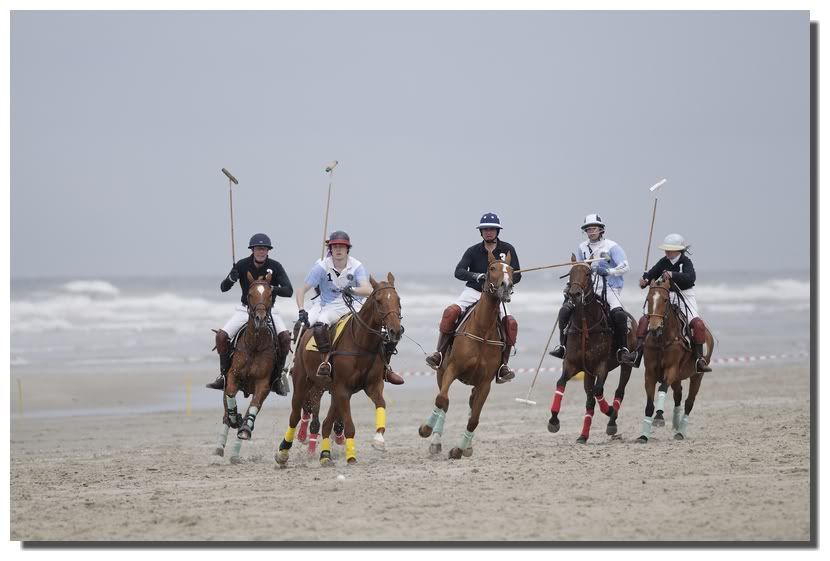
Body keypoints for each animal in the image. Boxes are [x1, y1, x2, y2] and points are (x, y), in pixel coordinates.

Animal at [213, 272, 278, 464]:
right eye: (250, 294)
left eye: (270, 294)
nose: (261, 319)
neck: (254, 345)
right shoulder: (232, 377)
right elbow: (231, 396)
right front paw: (235, 418)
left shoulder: (263, 384)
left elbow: (253, 408)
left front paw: (244, 429)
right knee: (226, 414)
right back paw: (220, 446)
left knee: (250, 413)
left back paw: (236, 449)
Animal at [276, 274, 404, 466]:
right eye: (379, 300)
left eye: (398, 300)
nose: (396, 330)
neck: (362, 343)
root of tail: (307, 331)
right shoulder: (342, 389)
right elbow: (349, 426)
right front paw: (351, 456)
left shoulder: (372, 386)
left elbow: (381, 403)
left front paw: (379, 439)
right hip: (303, 383)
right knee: (295, 416)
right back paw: (283, 452)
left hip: (329, 389)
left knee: (326, 422)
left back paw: (325, 455)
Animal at [420, 249, 516, 460]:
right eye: (492, 268)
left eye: (512, 270)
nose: (506, 287)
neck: (483, 330)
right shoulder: (452, 369)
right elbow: (442, 400)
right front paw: (426, 429)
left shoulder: (485, 383)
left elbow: (474, 419)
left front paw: (459, 449)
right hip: (441, 372)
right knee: (444, 403)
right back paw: (435, 441)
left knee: (471, 407)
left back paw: (466, 446)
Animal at [544, 256, 636, 444]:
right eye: (571, 272)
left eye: (588, 273)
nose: (574, 294)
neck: (585, 325)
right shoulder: (572, 364)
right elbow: (561, 383)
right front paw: (554, 420)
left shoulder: (602, 366)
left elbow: (598, 391)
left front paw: (610, 411)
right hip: (588, 372)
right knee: (589, 401)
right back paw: (583, 435)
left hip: (626, 365)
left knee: (619, 391)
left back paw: (611, 421)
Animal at [636, 276, 716, 442]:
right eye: (648, 299)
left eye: (665, 299)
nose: (654, 328)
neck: (662, 340)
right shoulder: (649, 373)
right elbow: (649, 404)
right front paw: (644, 435)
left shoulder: (671, 369)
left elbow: (662, 388)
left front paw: (659, 417)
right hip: (678, 378)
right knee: (678, 395)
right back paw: (676, 424)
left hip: (697, 375)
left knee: (689, 402)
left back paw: (681, 431)